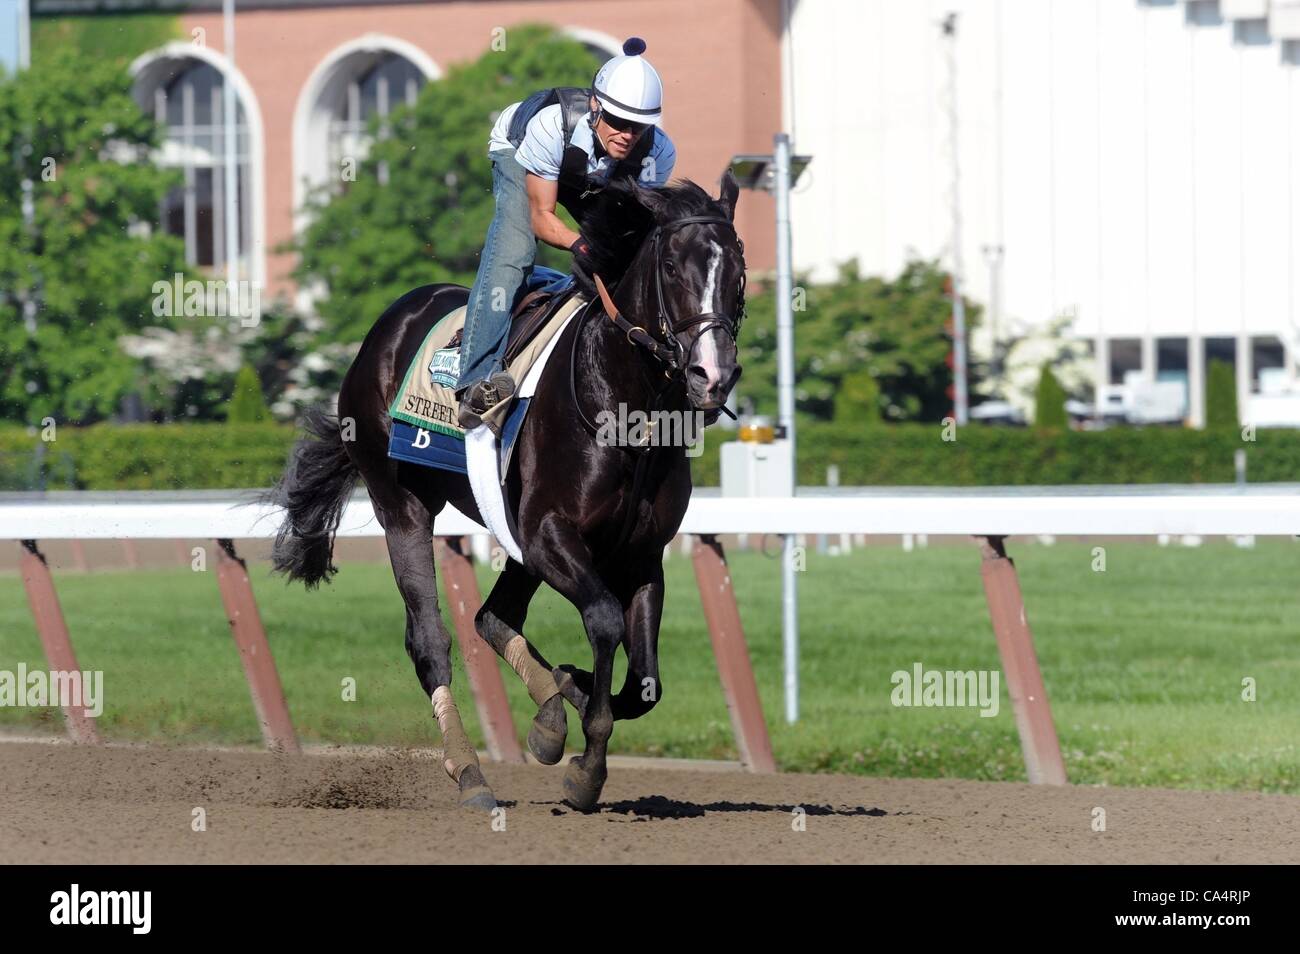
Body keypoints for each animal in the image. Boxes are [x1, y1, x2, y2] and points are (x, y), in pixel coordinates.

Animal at [266, 174, 743, 816]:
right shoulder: (548, 532)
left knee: (492, 617)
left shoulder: (638, 553)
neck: (621, 408)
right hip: (403, 505)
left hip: (514, 534)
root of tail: (389, 323)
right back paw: (471, 773)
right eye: (671, 266)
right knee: (430, 640)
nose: (711, 377)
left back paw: (548, 716)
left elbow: (645, 683)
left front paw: (570, 693)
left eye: (738, 268)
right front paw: (586, 767)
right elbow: (604, 621)